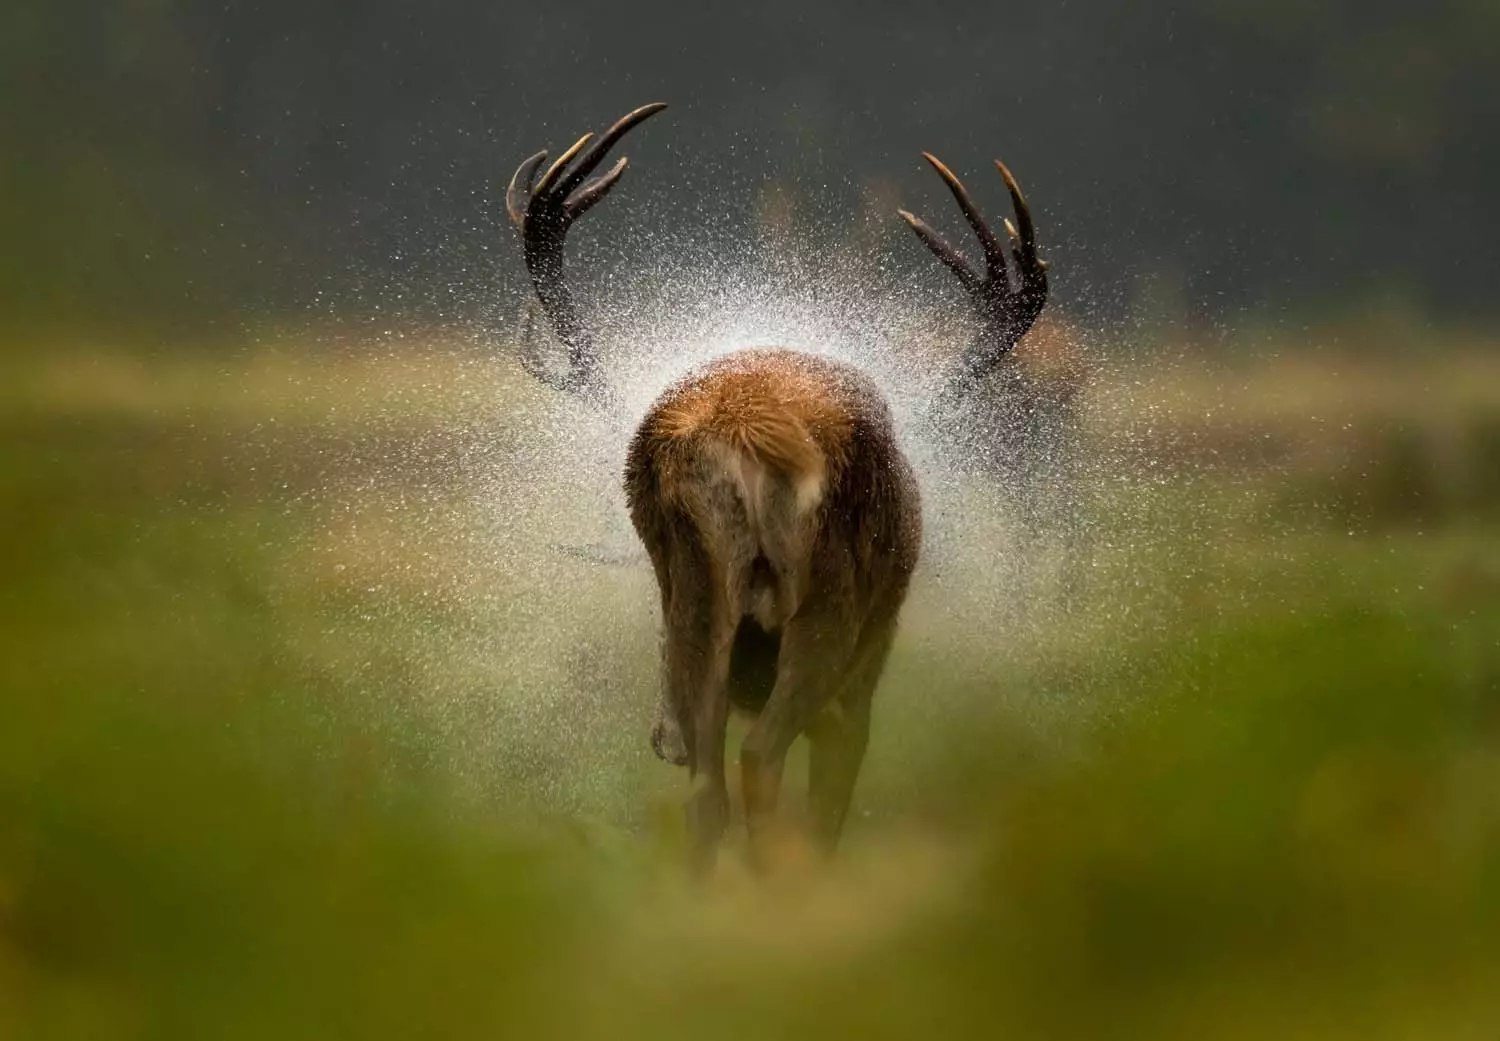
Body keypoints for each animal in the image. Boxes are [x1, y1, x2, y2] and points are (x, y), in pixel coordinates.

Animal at [504, 104, 1044, 870]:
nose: (659, 737)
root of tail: (742, 429)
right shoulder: (864, 672)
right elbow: (827, 809)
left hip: (697, 588)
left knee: (706, 792)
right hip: (829, 604)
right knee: (761, 762)